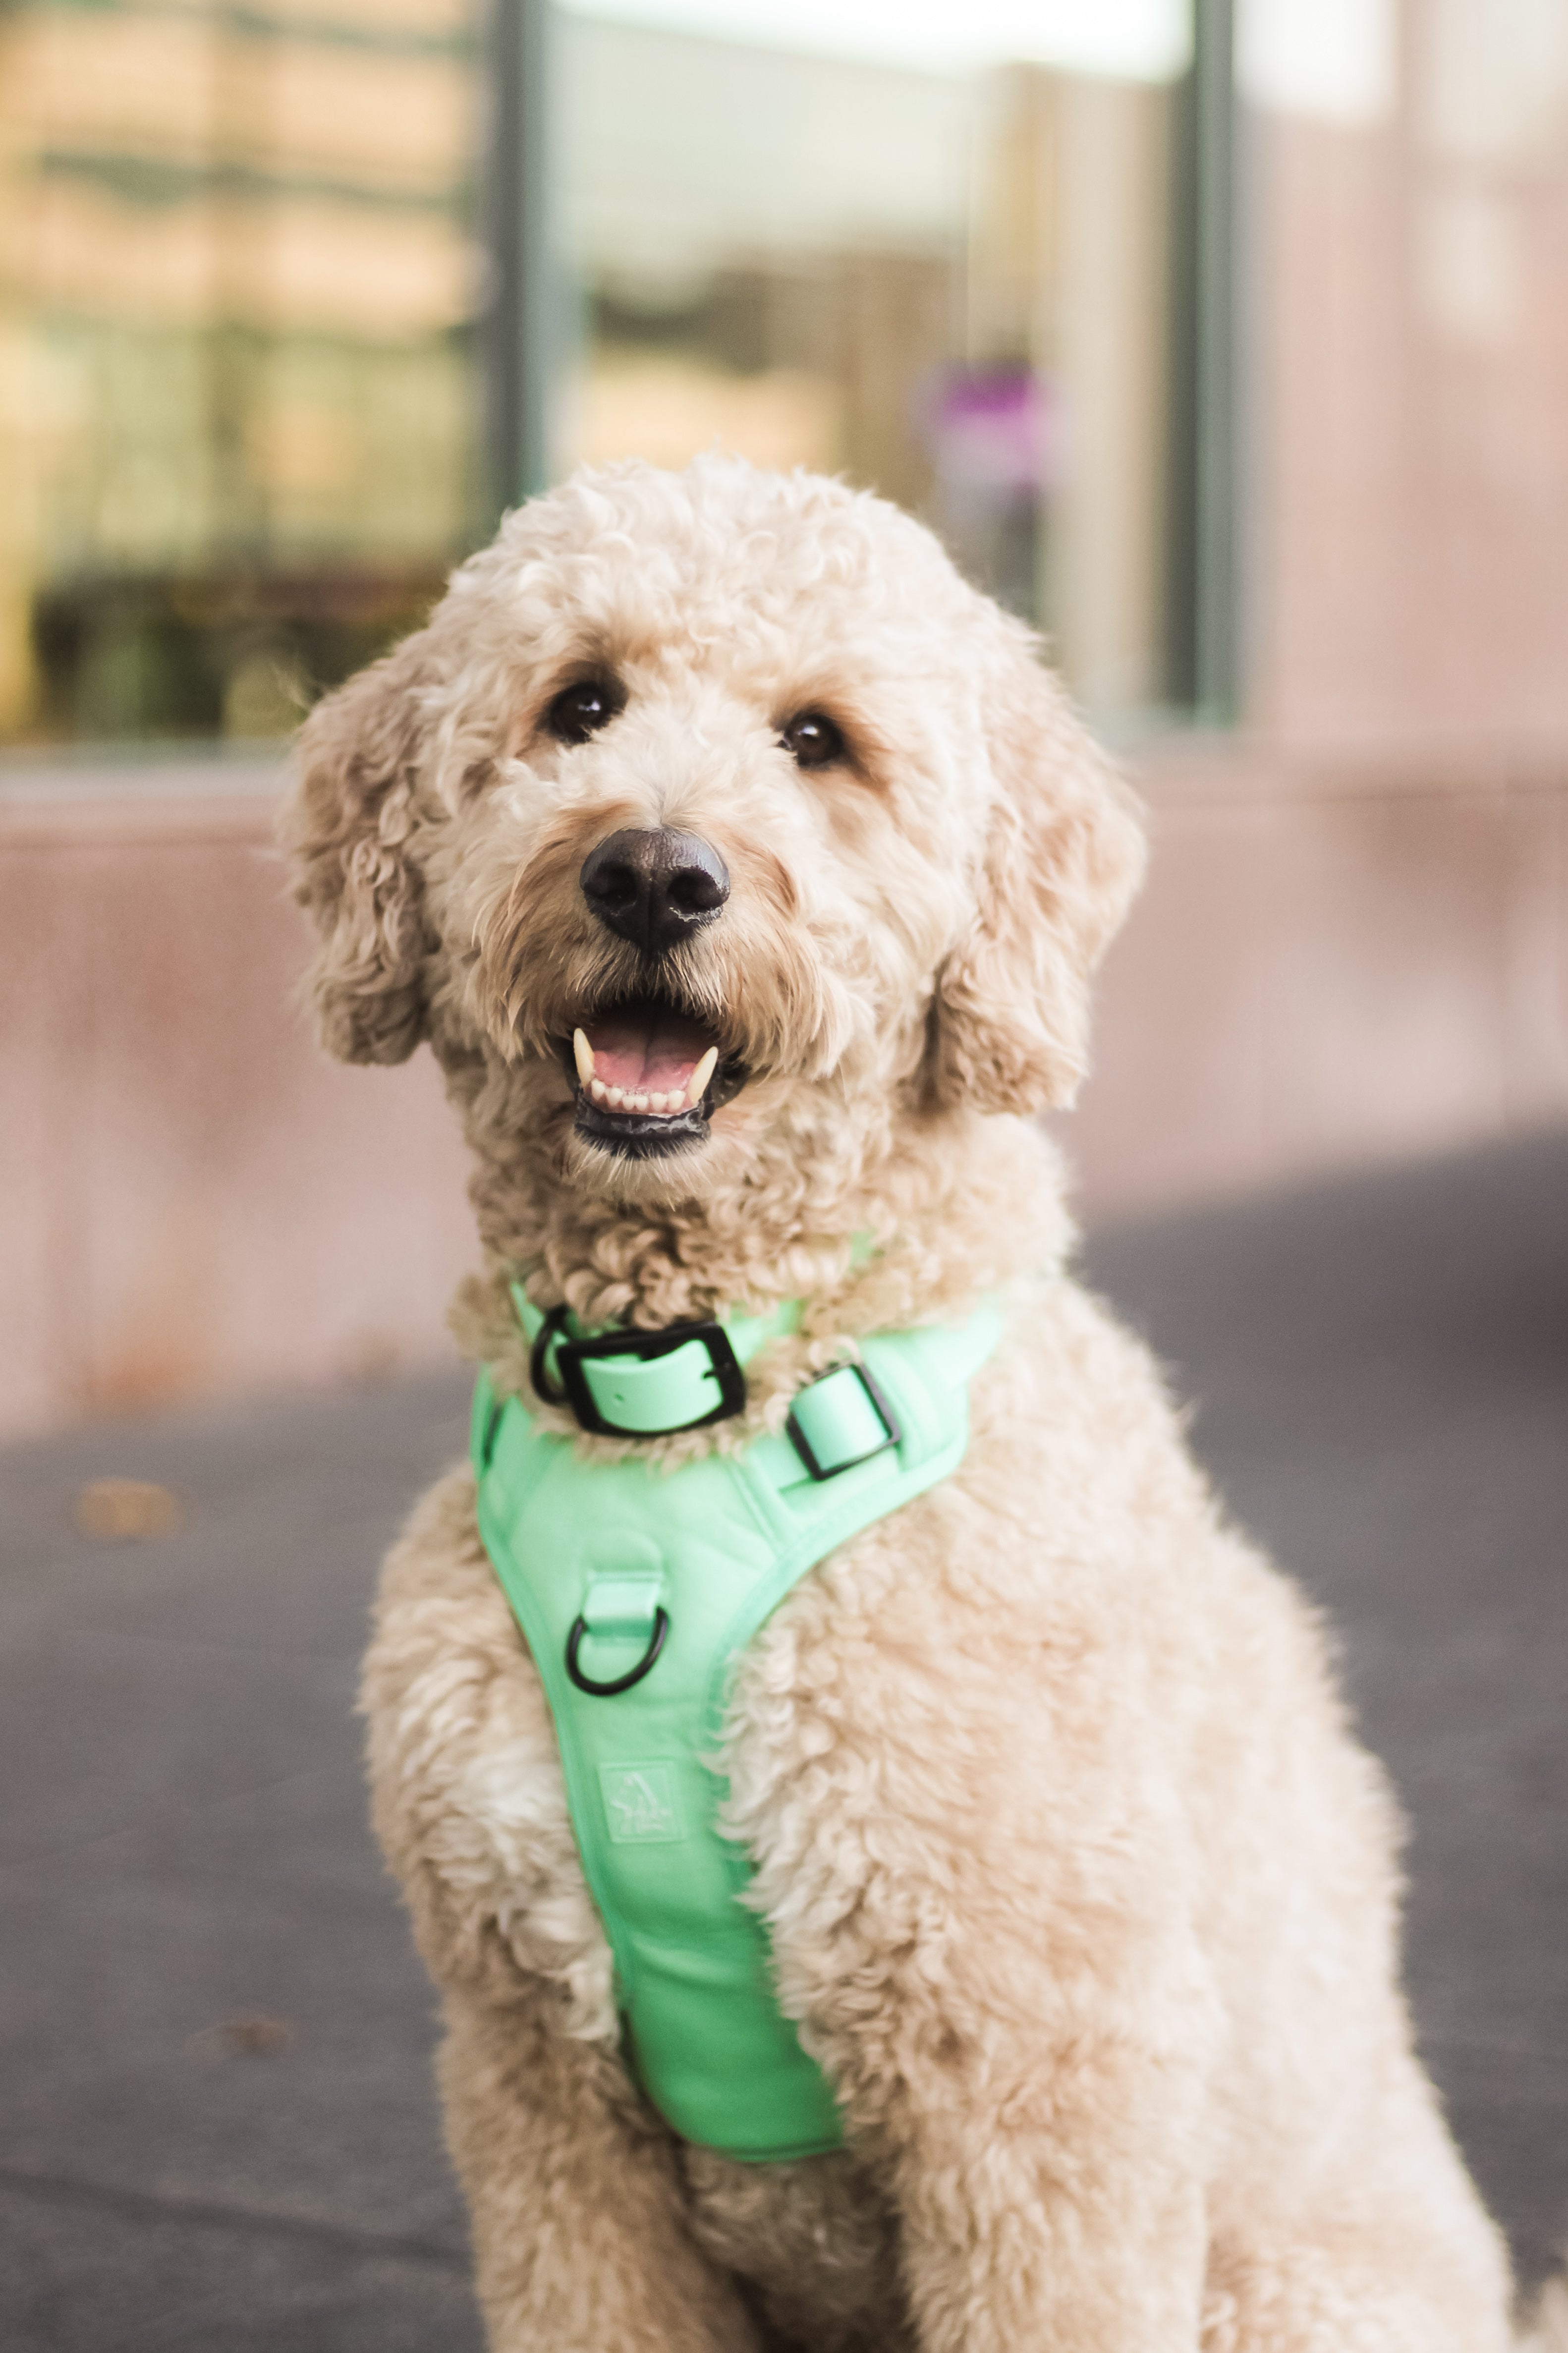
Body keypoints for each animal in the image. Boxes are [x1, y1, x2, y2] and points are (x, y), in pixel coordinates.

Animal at [283, 449, 1535, 2344]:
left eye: (819, 740)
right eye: (579, 704)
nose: (653, 873)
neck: (686, 1407)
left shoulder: (1037, 2067)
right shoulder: (540, 2087)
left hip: (1279, 2291)